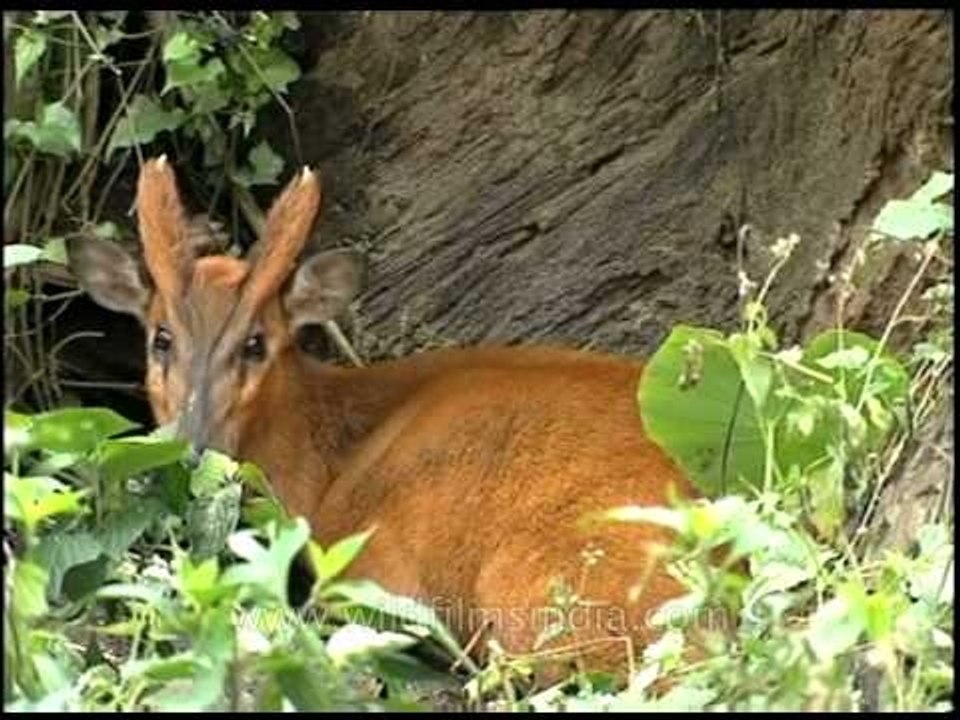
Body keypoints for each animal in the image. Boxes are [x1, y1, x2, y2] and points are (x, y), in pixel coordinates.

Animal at [67, 157, 706, 688]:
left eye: (256, 343)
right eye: (161, 339)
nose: (196, 449)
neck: (329, 459)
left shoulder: (376, 570)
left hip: (537, 598)